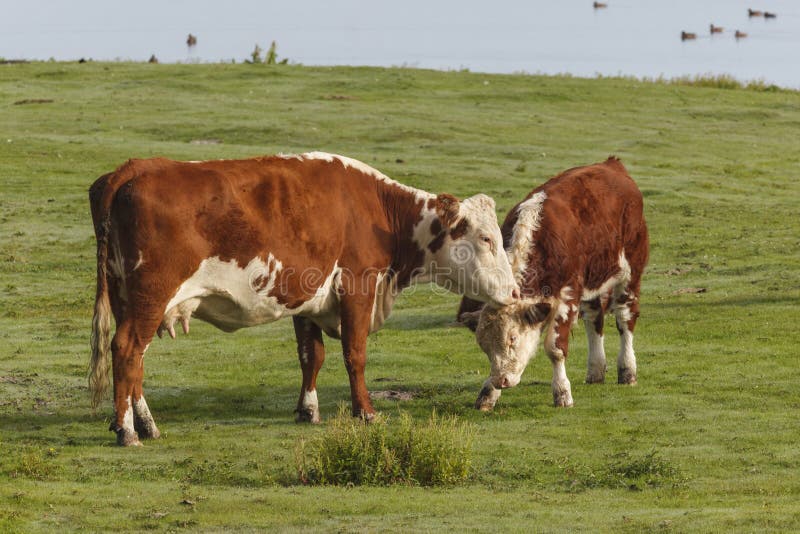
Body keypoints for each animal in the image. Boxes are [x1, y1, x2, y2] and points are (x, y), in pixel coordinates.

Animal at [89, 152, 518, 446]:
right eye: (486, 238)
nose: (515, 292)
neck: (378, 212)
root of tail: (135, 168)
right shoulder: (358, 287)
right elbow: (354, 354)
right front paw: (366, 412)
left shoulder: (309, 298)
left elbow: (312, 355)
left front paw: (308, 410)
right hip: (150, 296)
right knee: (126, 350)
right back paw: (128, 431)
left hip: (130, 299)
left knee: (135, 359)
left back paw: (144, 424)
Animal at [457, 157, 649, 410]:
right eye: (484, 344)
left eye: (512, 338)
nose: (501, 380)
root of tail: (612, 165)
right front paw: (488, 393)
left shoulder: (567, 296)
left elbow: (556, 349)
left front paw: (562, 392)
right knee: (594, 320)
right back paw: (596, 371)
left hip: (631, 272)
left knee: (625, 319)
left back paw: (627, 370)